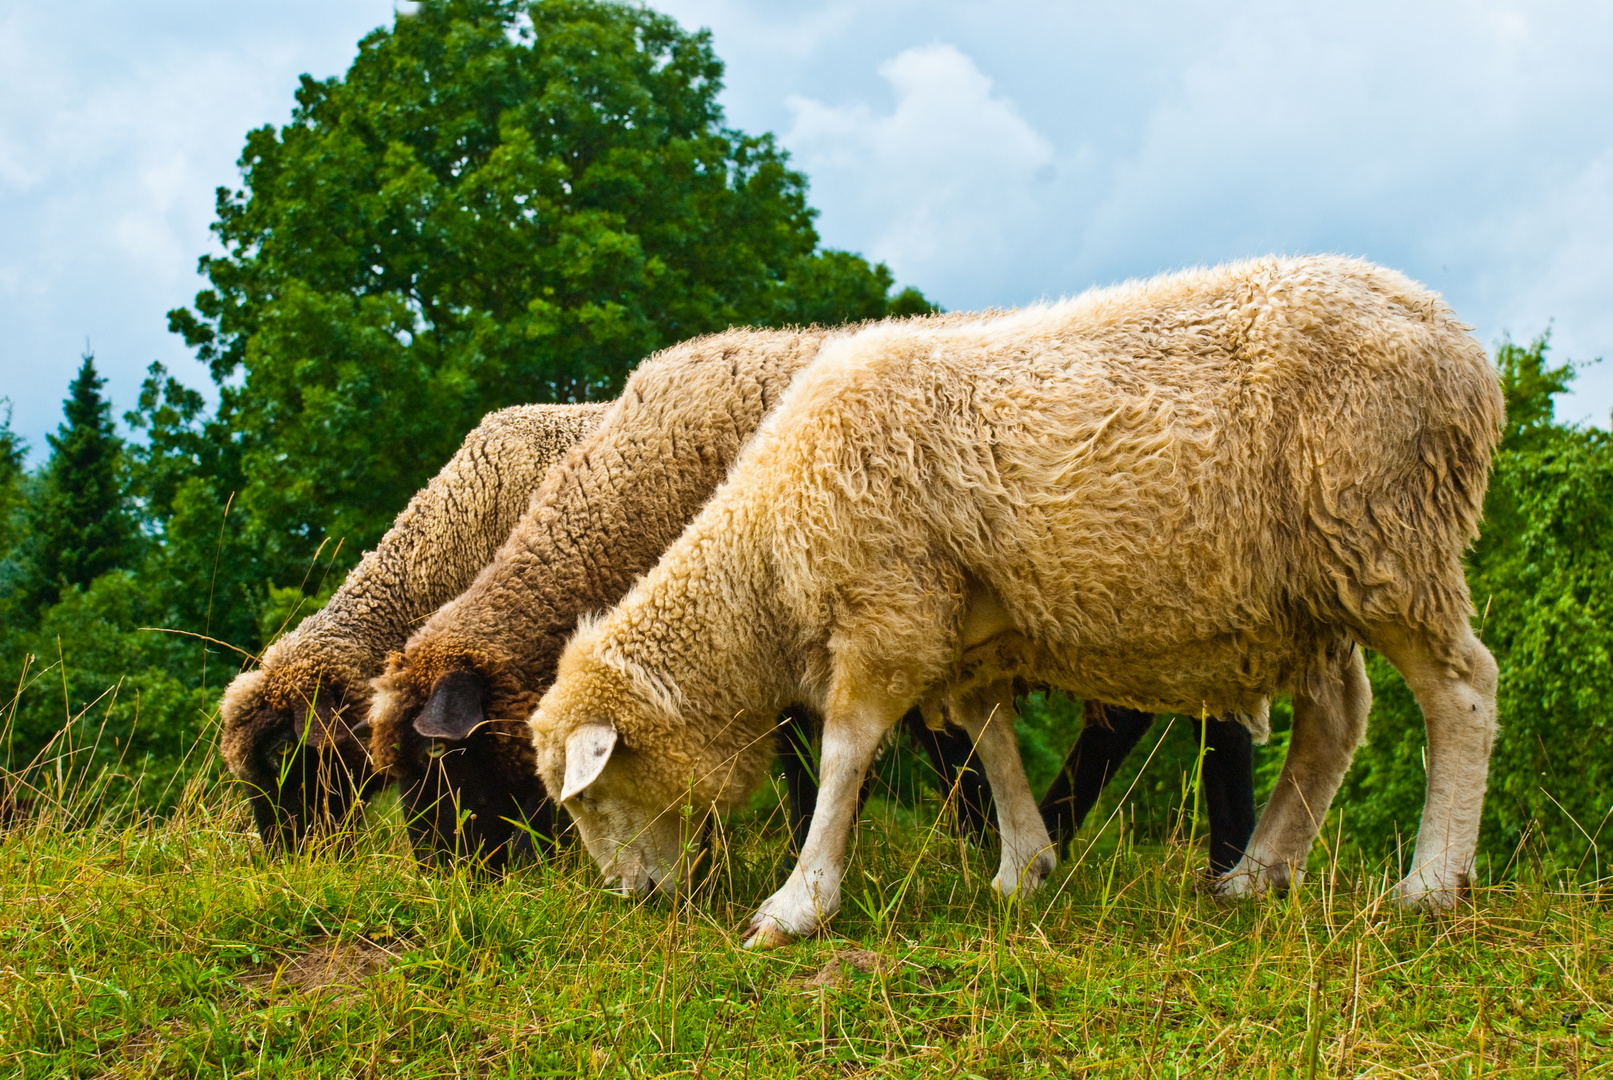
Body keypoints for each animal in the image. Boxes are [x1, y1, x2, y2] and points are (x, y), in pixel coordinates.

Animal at [535, 256, 1503, 947]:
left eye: (590, 796)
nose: (629, 897)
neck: (766, 558)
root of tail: (1454, 335)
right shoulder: (964, 635)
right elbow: (988, 738)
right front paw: (1022, 870)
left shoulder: (888, 608)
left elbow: (847, 754)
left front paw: (798, 903)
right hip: (1309, 587)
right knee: (1337, 719)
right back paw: (1256, 874)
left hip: (1383, 532)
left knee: (1460, 690)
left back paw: (1430, 884)